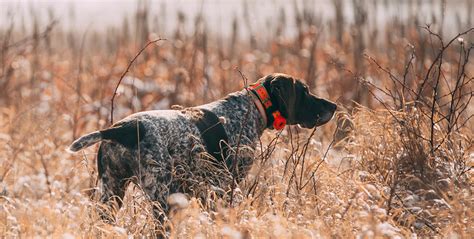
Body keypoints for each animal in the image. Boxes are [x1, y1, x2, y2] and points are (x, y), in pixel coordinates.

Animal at [67, 73, 336, 222]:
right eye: (305, 91)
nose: (333, 105)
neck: (251, 109)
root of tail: (122, 128)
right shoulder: (225, 187)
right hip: (160, 195)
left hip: (111, 192)